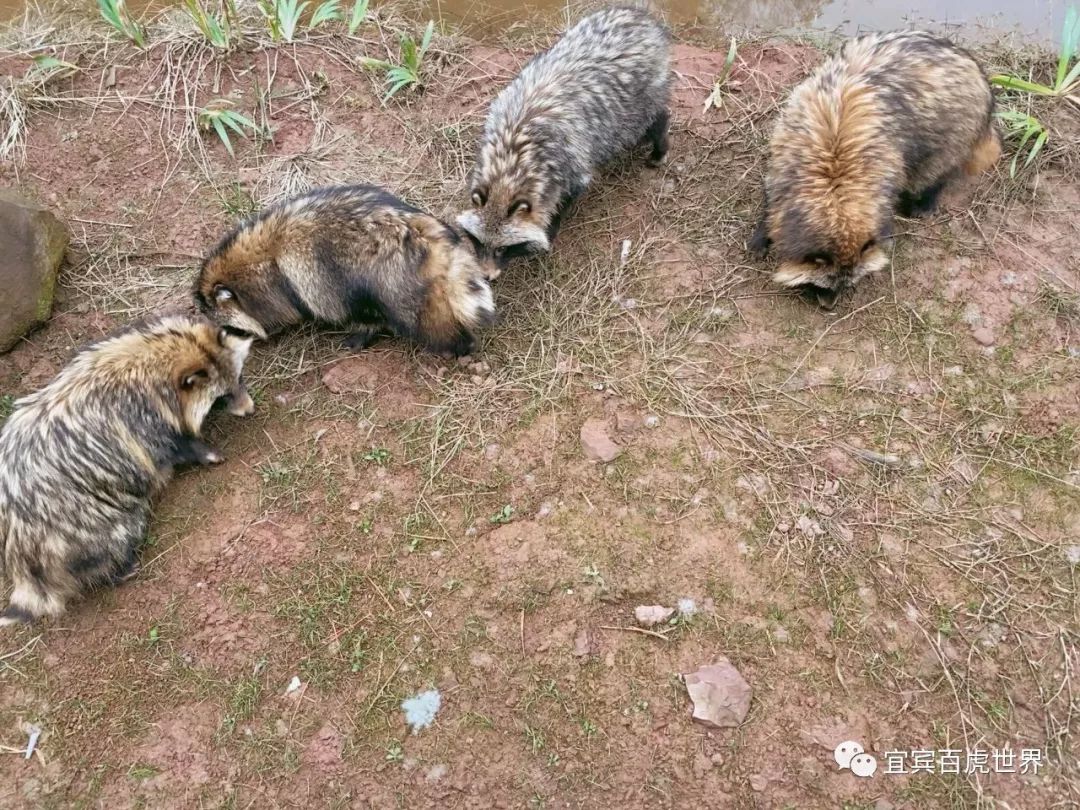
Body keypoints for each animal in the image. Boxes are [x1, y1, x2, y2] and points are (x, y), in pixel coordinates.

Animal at [0, 313, 254, 626]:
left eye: (239, 379)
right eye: (222, 396)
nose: (249, 410)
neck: (147, 362)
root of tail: (20, 554)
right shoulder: (144, 423)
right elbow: (175, 444)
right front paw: (206, 452)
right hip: (90, 525)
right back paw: (119, 568)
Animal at [196, 189, 494, 360]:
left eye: (228, 328)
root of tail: (429, 237)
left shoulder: (303, 282)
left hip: (397, 286)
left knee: (424, 321)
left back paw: (457, 345)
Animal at [453, 4, 665, 278]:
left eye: (502, 249)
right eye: (479, 242)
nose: (487, 277)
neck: (510, 164)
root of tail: (637, 15)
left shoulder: (571, 164)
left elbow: (565, 199)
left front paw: (551, 229)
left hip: (637, 104)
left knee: (654, 119)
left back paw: (660, 145)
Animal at [751, 29, 993, 306]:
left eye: (847, 284)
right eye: (822, 285)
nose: (828, 309)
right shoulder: (784, 156)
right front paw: (761, 232)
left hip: (954, 135)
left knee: (939, 169)